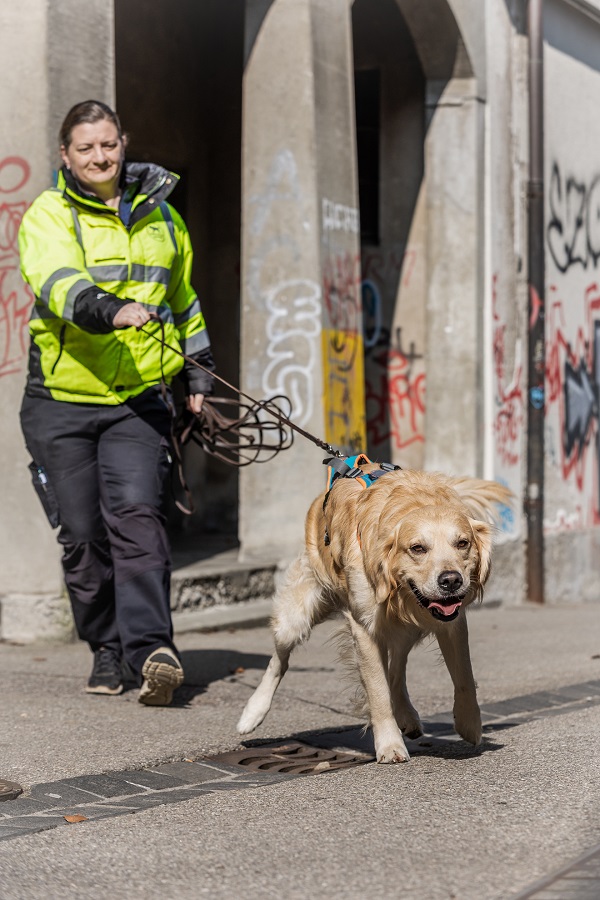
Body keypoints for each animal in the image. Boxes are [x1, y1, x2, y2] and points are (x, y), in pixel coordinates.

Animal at [238, 464, 510, 768]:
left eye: (463, 543)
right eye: (417, 548)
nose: (451, 581)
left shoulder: (452, 624)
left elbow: (464, 678)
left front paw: (468, 724)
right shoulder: (365, 628)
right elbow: (378, 692)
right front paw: (390, 744)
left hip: (404, 630)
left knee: (396, 671)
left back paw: (407, 716)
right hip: (295, 618)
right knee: (279, 661)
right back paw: (253, 712)